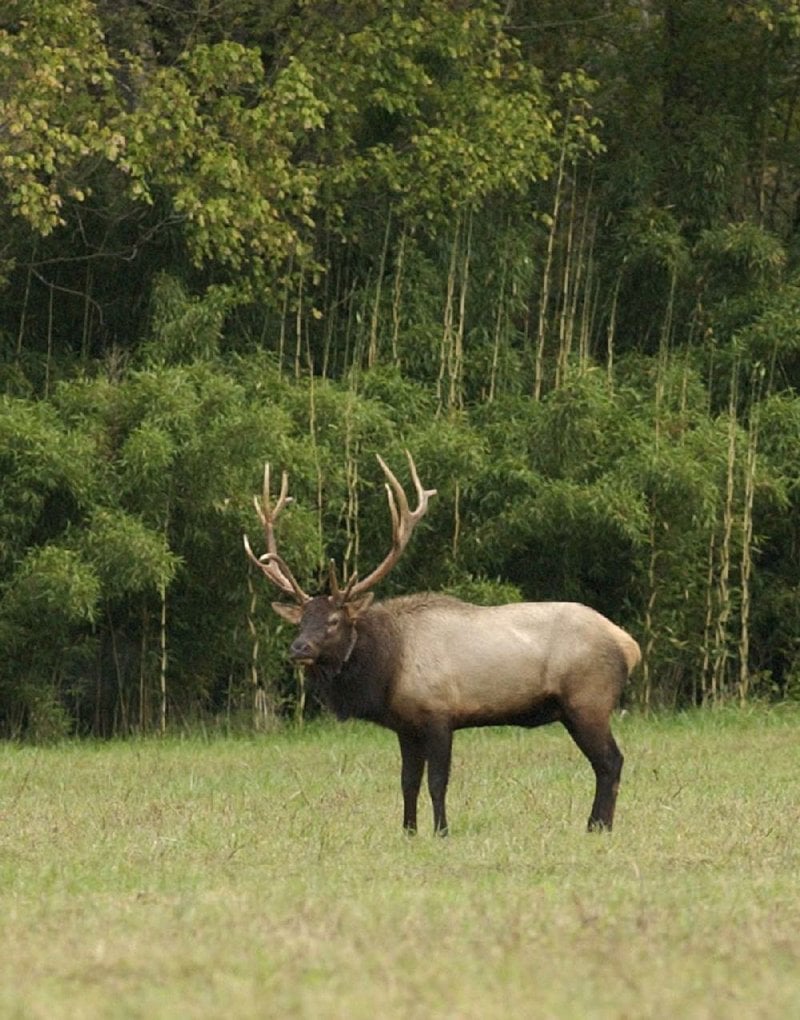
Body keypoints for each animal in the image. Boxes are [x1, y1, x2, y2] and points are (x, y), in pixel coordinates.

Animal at [240, 454, 640, 836]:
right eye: (301, 620)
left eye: (334, 621)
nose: (299, 648)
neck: (387, 669)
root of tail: (629, 644)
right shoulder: (406, 726)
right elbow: (408, 783)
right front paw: (408, 831)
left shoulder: (439, 714)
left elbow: (437, 782)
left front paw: (441, 830)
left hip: (588, 700)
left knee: (610, 762)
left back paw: (597, 826)